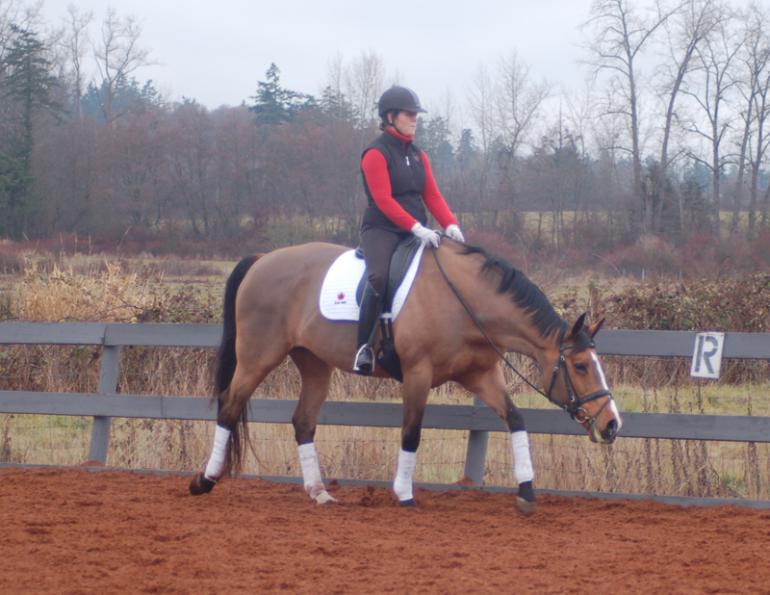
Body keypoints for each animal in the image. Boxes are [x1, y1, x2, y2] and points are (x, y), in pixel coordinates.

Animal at [188, 238, 623, 514]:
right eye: (581, 366)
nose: (612, 424)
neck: (465, 302)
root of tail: (263, 259)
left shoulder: (482, 375)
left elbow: (516, 420)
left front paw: (527, 492)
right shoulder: (418, 374)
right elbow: (411, 433)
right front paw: (403, 493)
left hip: (313, 363)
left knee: (303, 422)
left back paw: (319, 494)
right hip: (257, 357)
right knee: (229, 407)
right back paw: (204, 480)